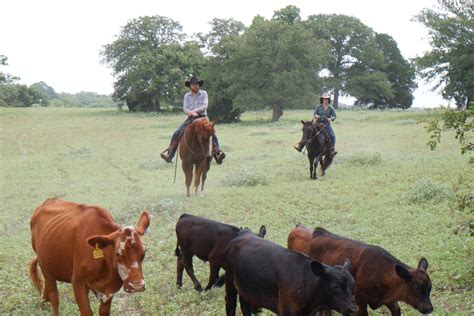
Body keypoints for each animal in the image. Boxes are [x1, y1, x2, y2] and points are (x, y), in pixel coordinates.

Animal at [224, 230, 358, 316]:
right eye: (335, 286)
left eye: (353, 285)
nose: (353, 309)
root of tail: (244, 234)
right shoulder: (286, 308)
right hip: (230, 282)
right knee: (230, 304)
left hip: (244, 288)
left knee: (245, 305)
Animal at [286, 225, 434, 316]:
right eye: (416, 287)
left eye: (429, 288)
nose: (429, 308)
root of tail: (319, 231)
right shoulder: (360, 299)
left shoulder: (390, 299)